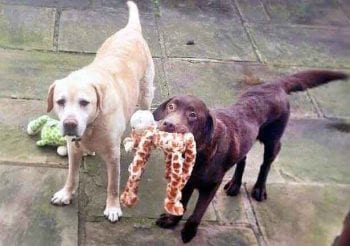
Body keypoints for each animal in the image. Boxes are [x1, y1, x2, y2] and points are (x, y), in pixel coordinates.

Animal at [46, 0, 154, 223]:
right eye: (60, 101)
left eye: (84, 102)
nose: (70, 124)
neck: (92, 124)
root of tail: (131, 29)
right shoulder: (73, 148)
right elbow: (72, 175)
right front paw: (66, 194)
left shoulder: (113, 156)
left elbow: (113, 185)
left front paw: (113, 208)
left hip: (146, 94)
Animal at [152, 70, 348, 243]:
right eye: (171, 106)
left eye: (192, 115)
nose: (168, 123)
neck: (198, 152)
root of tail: (275, 84)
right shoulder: (187, 180)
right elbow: (182, 203)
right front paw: (171, 221)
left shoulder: (210, 187)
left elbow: (198, 212)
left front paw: (188, 233)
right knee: (243, 159)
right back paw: (235, 185)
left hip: (272, 140)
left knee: (266, 164)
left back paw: (259, 189)